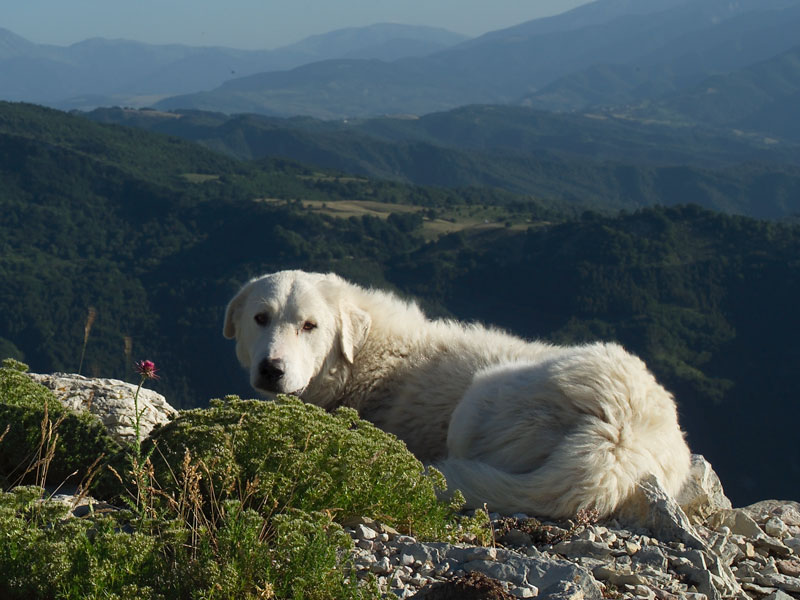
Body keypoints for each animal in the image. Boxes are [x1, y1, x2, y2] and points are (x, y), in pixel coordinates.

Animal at [222, 270, 692, 516]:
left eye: (310, 326)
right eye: (261, 318)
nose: (271, 370)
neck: (367, 357)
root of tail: (619, 439)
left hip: (480, 399)